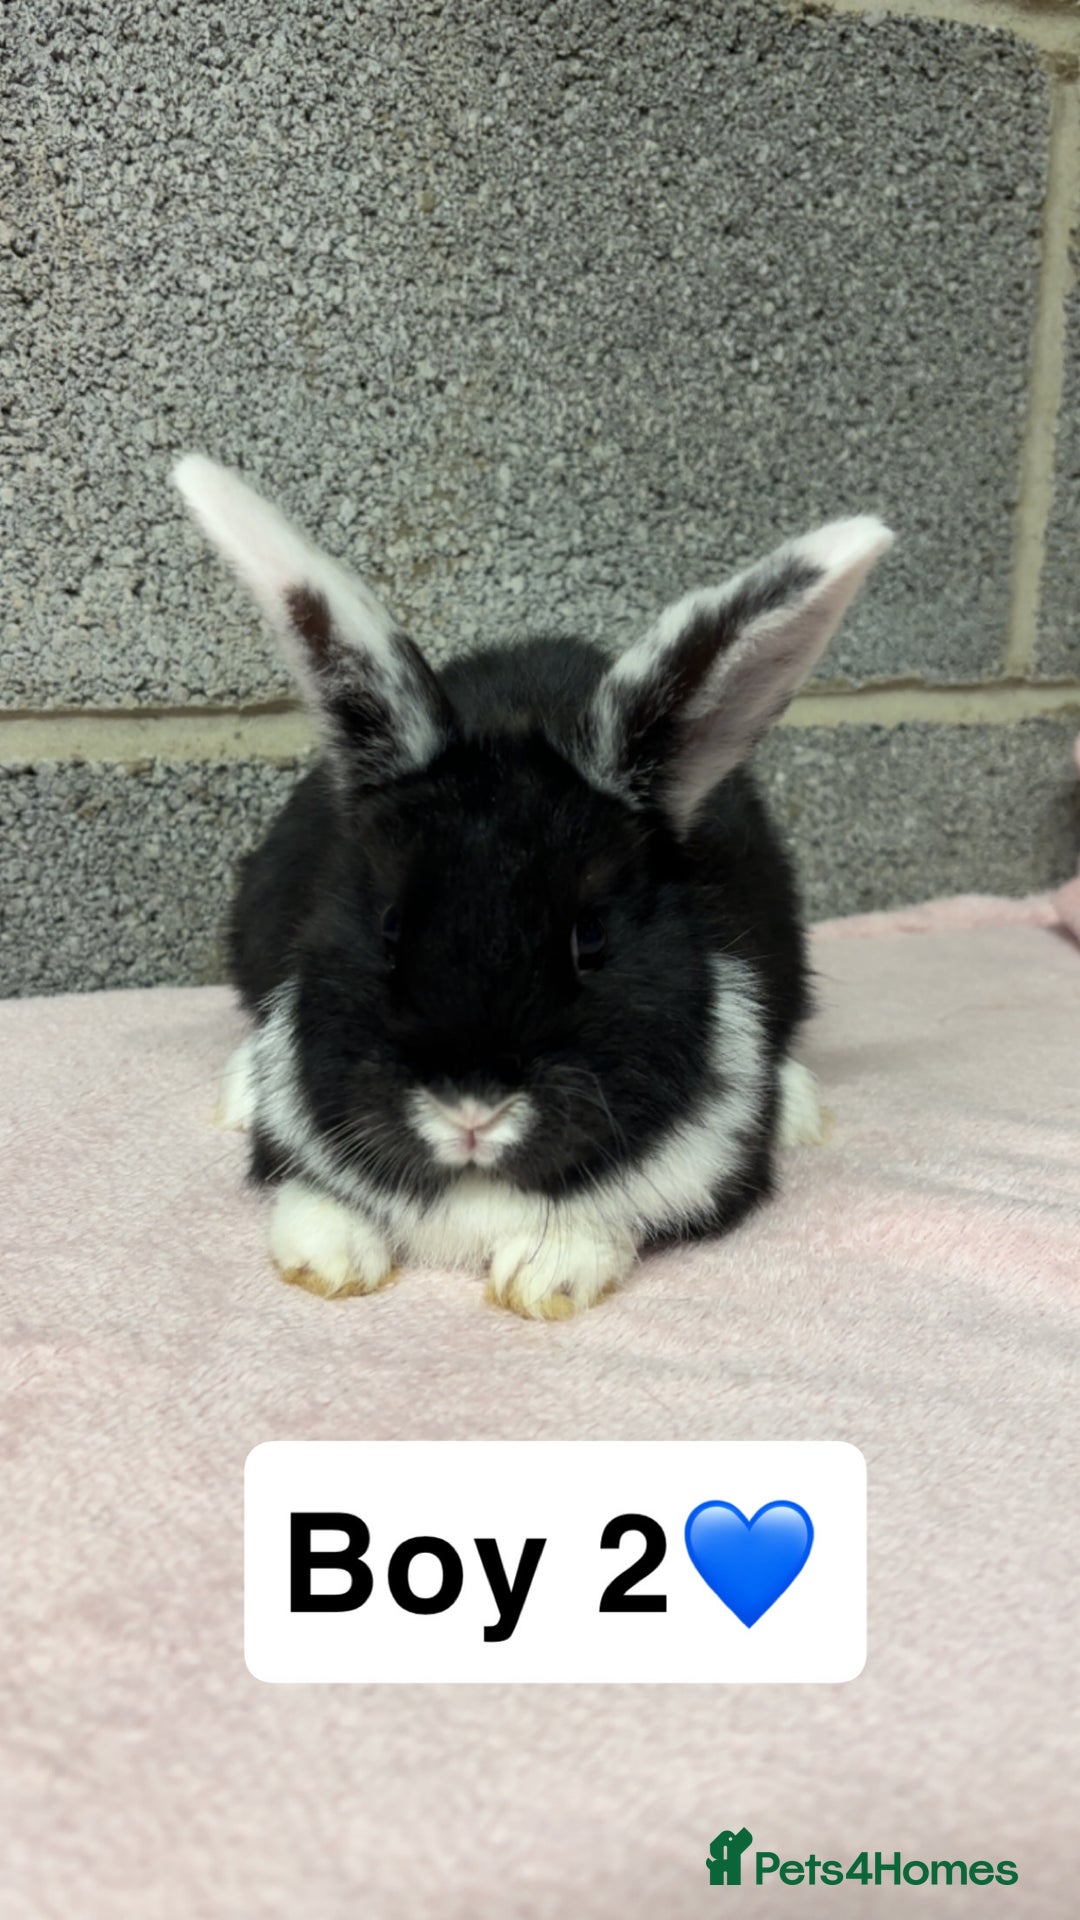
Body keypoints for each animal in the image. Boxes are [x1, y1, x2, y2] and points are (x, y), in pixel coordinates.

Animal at [174, 455, 893, 1318]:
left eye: (592, 937)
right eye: (388, 927)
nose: (471, 1112)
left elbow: (612, 1222)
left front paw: (546, 1272)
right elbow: (305, 1191)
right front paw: (331, 1259)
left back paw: (800, 1109)